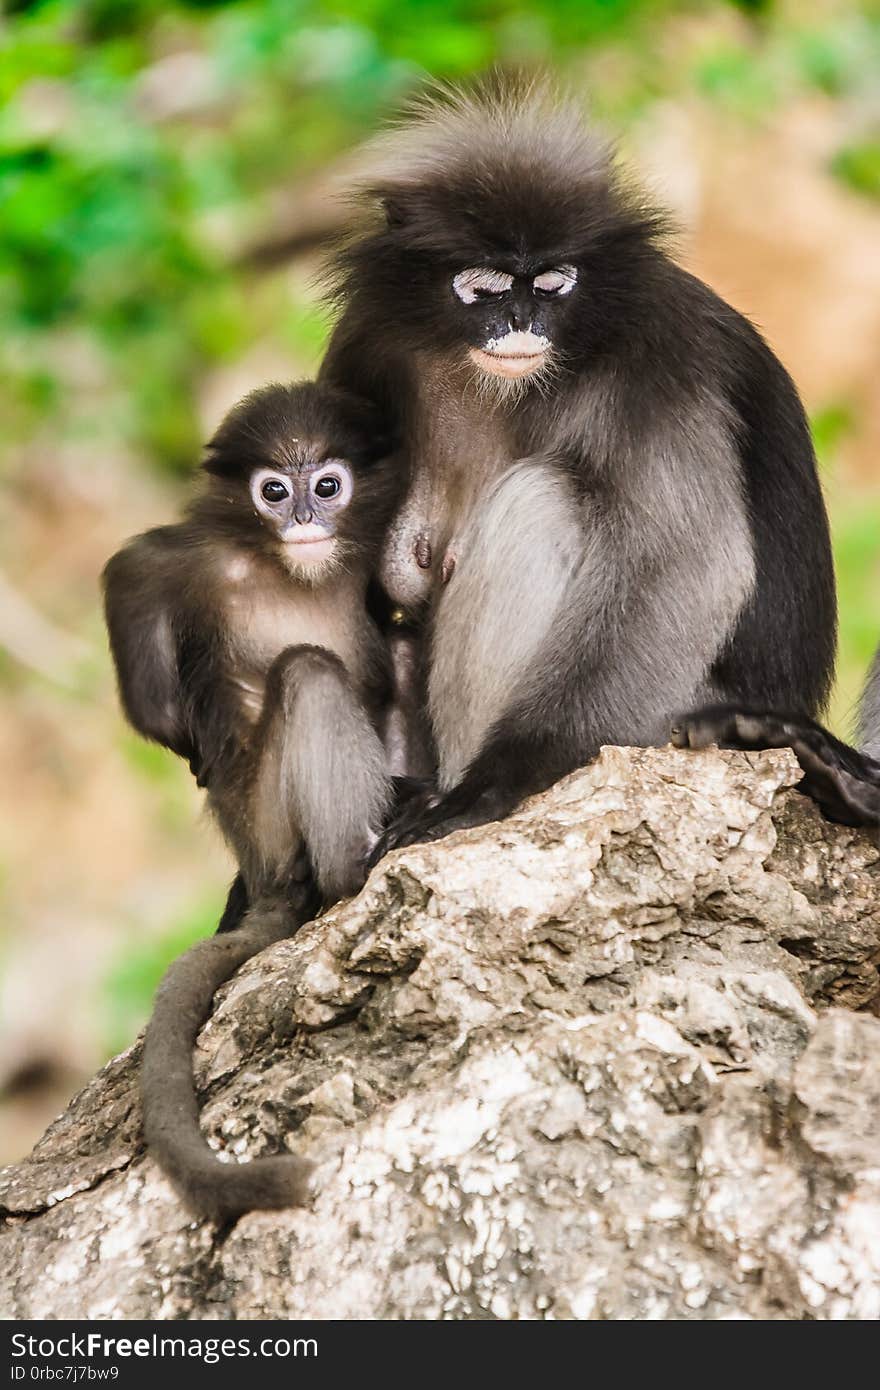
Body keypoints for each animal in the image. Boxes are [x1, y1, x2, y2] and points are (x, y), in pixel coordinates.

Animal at [103, 380, 405, 1217]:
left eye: (326, 486)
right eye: (274, 491)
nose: (302, 518)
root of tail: (264, 864)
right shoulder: (194, 558)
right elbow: (130, 574)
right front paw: (184, 742)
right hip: (265, 808)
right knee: (306, 670)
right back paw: (352, 865)